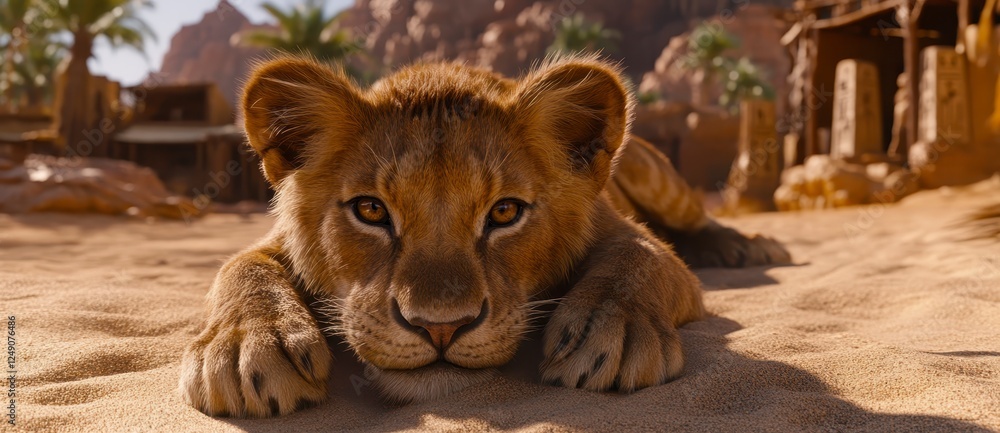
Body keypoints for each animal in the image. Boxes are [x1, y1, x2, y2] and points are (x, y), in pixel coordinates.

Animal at [178, 55, 790, 417]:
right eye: (371, 210)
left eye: (504, 213)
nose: (440, 328)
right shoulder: (272, 241)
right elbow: (241, 266)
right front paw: (245, 345)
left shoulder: (629, 234)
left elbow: (639, 258)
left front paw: (613, 331)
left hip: (653, 173)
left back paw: (751, 245)